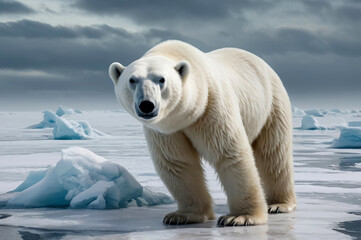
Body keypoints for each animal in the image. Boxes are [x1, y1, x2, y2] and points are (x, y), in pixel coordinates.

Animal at [108, 40, 294, 226]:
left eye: (161, 79)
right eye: (132, 80)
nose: (147, 104)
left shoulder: (211, 107)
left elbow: (228, 153)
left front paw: (240, 217)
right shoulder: (167, 130)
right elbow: (178, 163)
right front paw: (182, 216)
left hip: (272, 105)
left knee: (274, 155)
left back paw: (278, 204)